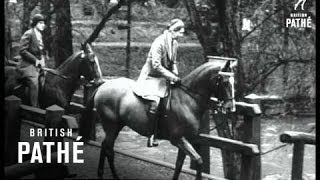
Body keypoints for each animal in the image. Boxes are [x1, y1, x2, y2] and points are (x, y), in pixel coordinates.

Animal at [79, 59, 235, 179]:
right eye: (225, 82)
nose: (230, 108)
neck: (187, 99)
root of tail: (103, 86)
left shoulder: (185, 140)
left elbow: (179, 164)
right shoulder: (178, 139)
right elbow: (198, 160)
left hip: (117, 126)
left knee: (106, 146)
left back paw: (101, 174)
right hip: (111, 126)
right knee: (108, 149)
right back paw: (114, 176)